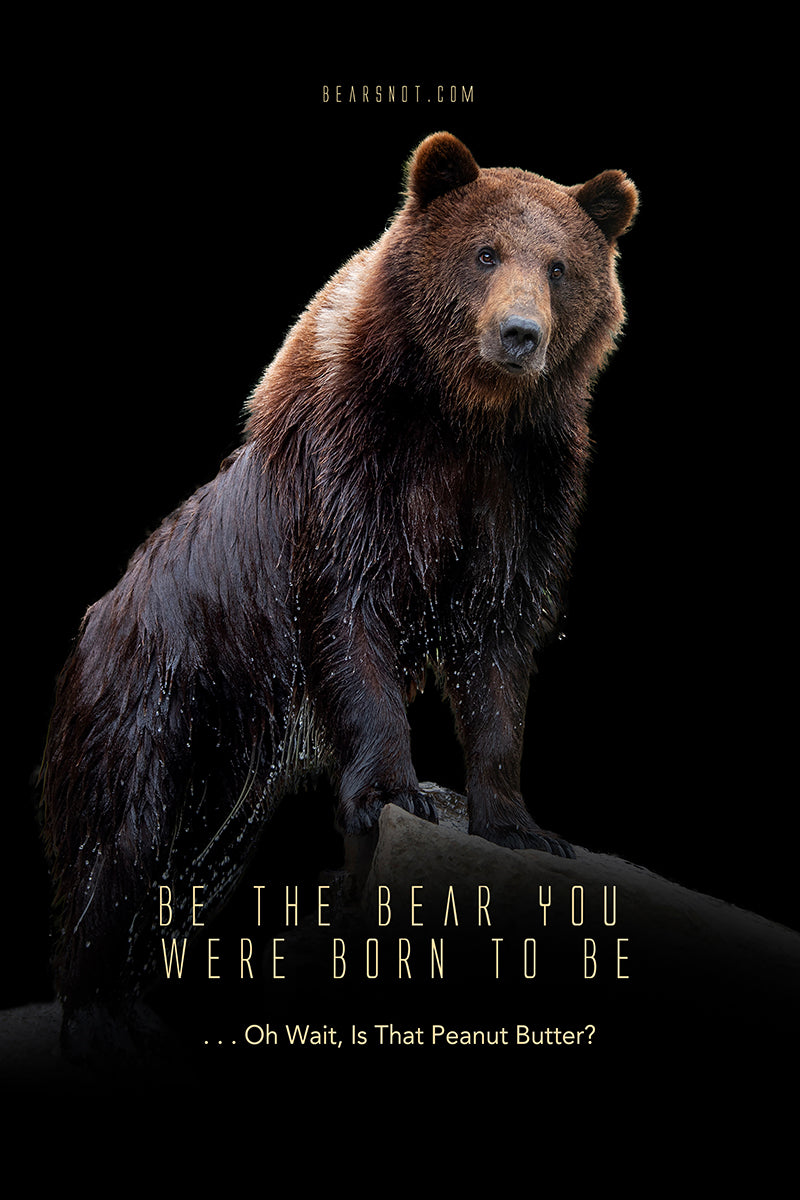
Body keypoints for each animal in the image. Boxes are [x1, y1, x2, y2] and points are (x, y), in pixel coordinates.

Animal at [40, 132, 638, 1061]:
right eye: (485, 251)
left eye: (561, 265)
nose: (519, 334)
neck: (460, 417)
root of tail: (92, 626)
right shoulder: (351, 470)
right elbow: (352, 624)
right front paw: (400, 789)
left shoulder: (521, 492)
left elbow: (498, 651)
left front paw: (517, 819)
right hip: (153, 697)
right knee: (123, 837)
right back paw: (102, 1010)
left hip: (227, 768)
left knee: (187, 860)